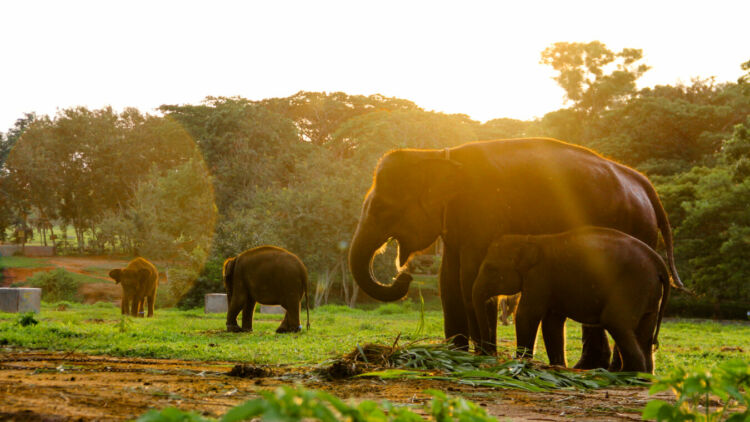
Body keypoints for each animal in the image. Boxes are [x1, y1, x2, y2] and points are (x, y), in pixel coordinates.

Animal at [472, 227, 672, 372]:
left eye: (491, 268)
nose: (487, 355)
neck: (531, 239)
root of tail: (659, 263)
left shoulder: (539, 276)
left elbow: (527, 315)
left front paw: (521, 363)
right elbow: (551, 322)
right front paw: (558, 367)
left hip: (633, 285)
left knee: (615, 322)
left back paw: (626, 375)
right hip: (649, 293)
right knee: (644, 331)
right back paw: (642, 376)